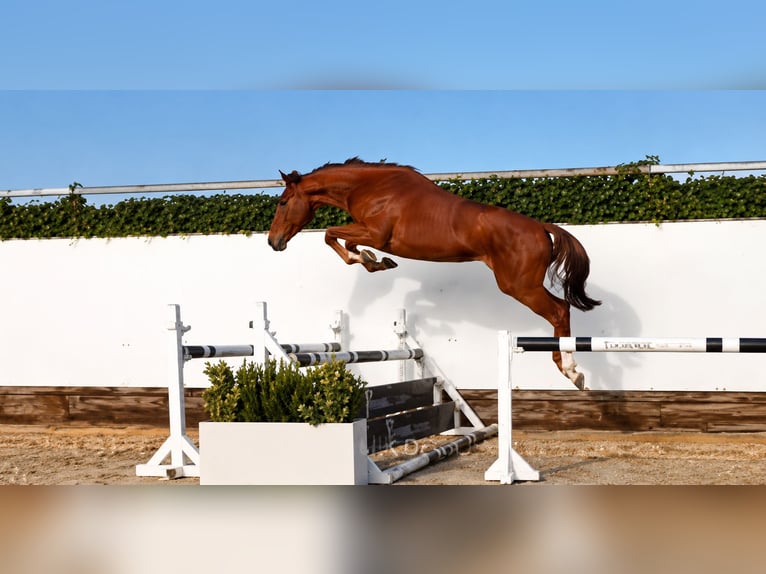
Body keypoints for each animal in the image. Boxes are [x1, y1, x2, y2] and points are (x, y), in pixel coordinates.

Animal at [268, 158, 601, 389]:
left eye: (283, 202)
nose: (273, 242)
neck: (372, 189)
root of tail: (541, 227)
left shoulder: (375, 233)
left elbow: (330, 235)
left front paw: (369, 259)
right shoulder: (369, 234)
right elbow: (348, 245)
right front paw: (376, 262)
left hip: (519, 286)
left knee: (560, 310)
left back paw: (571, 371)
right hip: (523, 285)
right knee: (562, 310)